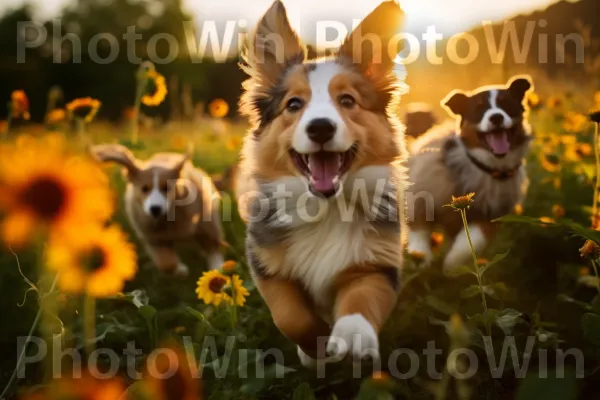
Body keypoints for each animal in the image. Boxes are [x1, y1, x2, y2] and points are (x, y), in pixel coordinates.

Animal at [91, 145, 225, 276]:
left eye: (166, 188)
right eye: (144, 188)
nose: (155, 209)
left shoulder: (202, 221)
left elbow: (212, 245)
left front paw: (216, 268)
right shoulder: (153, 238)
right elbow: (166, 263)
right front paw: (180, 270)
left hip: (207, 220)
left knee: (212, 242)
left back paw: (216, 266)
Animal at [234, 1, 408, 368]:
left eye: (348, 101)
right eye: (294, 105)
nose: (320, 128)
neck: (326, 208)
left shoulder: (377, 264)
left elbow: (362, 299)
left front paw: (352, 336)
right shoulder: (266, 264)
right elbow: (291, 317)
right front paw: (315, 348)